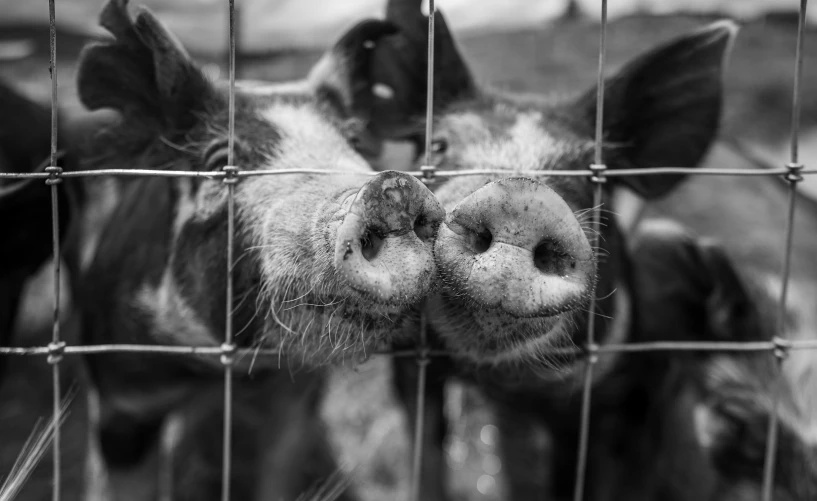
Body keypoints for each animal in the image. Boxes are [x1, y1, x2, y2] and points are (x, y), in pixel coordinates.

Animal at [45, 0, 446, 500]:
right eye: (221, 163)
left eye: (356, 145)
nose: (393, 188)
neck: (227, 370)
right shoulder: (122, 401)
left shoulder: (295, 395)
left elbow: (277, 472)